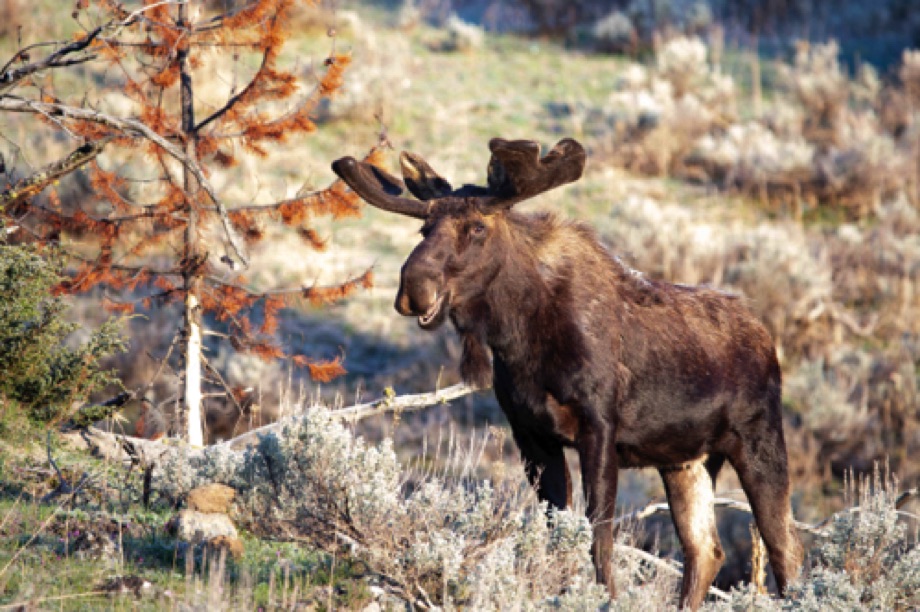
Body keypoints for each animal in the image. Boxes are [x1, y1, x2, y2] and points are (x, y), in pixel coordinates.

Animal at [330, 136, 796, 608]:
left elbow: (598, 538)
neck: (519, 339)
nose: (414, 287)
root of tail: (767, 339)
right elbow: (558, 533)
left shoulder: (600, 426)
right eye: (424, 229)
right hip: (686, 459)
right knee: (705, 549)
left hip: (758, 437)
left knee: (784, 548)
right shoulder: (532, 434)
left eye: (477, 228)